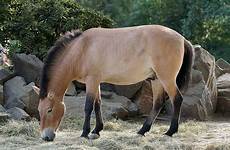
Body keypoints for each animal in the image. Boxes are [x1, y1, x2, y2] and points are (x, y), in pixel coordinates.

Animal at [32, 24, 194, 141]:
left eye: (49, 110)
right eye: (39, 110)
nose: (46, 137)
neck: (81, 49)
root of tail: (182, 39)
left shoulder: (91, 81)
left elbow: (88, 106)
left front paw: (84, 133)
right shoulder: (95, 82)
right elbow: (97, 104)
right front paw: (96, 131)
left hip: (166, 78)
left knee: (177, 99)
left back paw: (170, 132)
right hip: (156, 80)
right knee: (158, 103)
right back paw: (142, 131)